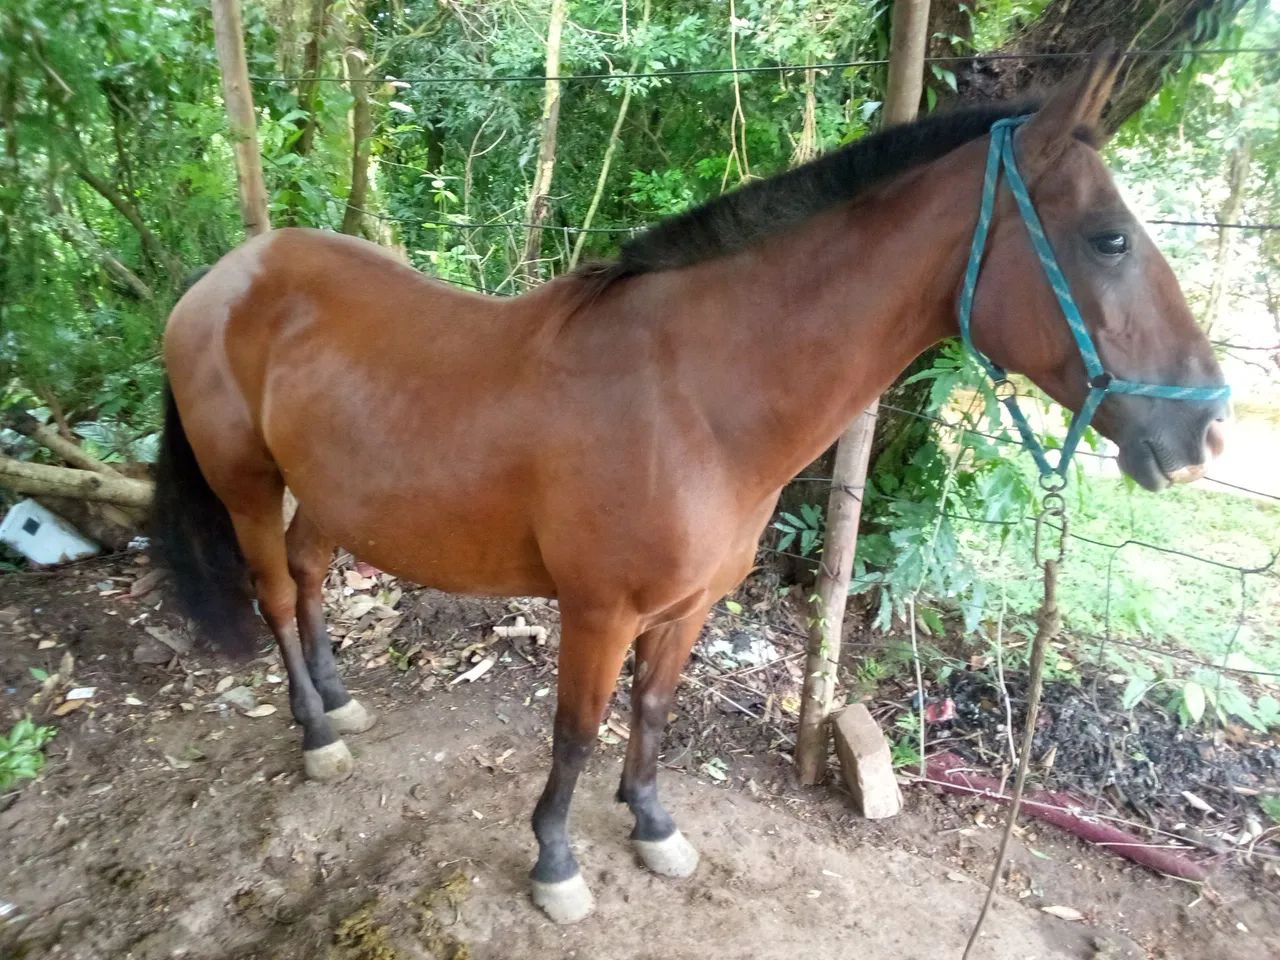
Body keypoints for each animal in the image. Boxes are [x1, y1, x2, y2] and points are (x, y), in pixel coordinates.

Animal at [153, 50, 1228, 924]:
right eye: (1110, 239)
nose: (1205, 430)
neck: (695, 397)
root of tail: (228, 275)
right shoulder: (598, 611)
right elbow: (574, 733)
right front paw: (555, 863)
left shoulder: (689, 607)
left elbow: (656, 711)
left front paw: (653, 824)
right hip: (249, 489)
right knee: (276, 593)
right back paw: (314, 731)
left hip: (330, 496)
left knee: (311, 579)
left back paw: (340, 701)